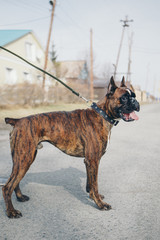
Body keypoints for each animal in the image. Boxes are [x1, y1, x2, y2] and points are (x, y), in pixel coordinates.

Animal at [2, 76, 140, 218]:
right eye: (124, 98)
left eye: (134, 96)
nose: (135, 101)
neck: (102, 114)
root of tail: (18, 120)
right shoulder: (93, 160)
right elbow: (95, 184)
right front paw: (100, 204)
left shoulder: (89, 161)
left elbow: (90, 183)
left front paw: (93, 196)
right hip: (25, 159)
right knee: (7, 187)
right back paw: (11, 211)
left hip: (22, 159)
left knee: (15, 181)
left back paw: (20, 197)